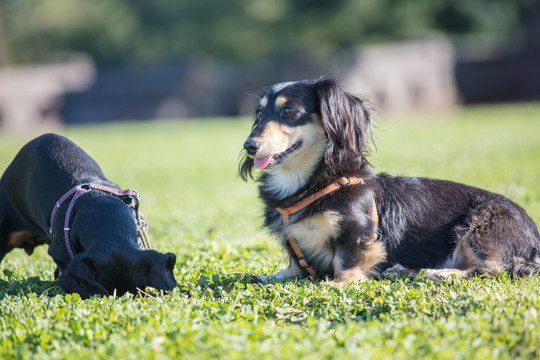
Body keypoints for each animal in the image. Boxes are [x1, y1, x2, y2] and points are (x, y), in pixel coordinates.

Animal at [240, 79, 540, 284]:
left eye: (289, 111)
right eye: (259, 113)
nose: (249, 146)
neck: (314, 185)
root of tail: (534, 237)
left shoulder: (357, 232)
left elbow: (348, 259)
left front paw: (339, 282)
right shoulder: (294, 245)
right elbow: (293, 266)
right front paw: (267, 276)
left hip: (480, 229)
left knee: (493, 268)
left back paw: (443, 273)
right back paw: (405, 269)